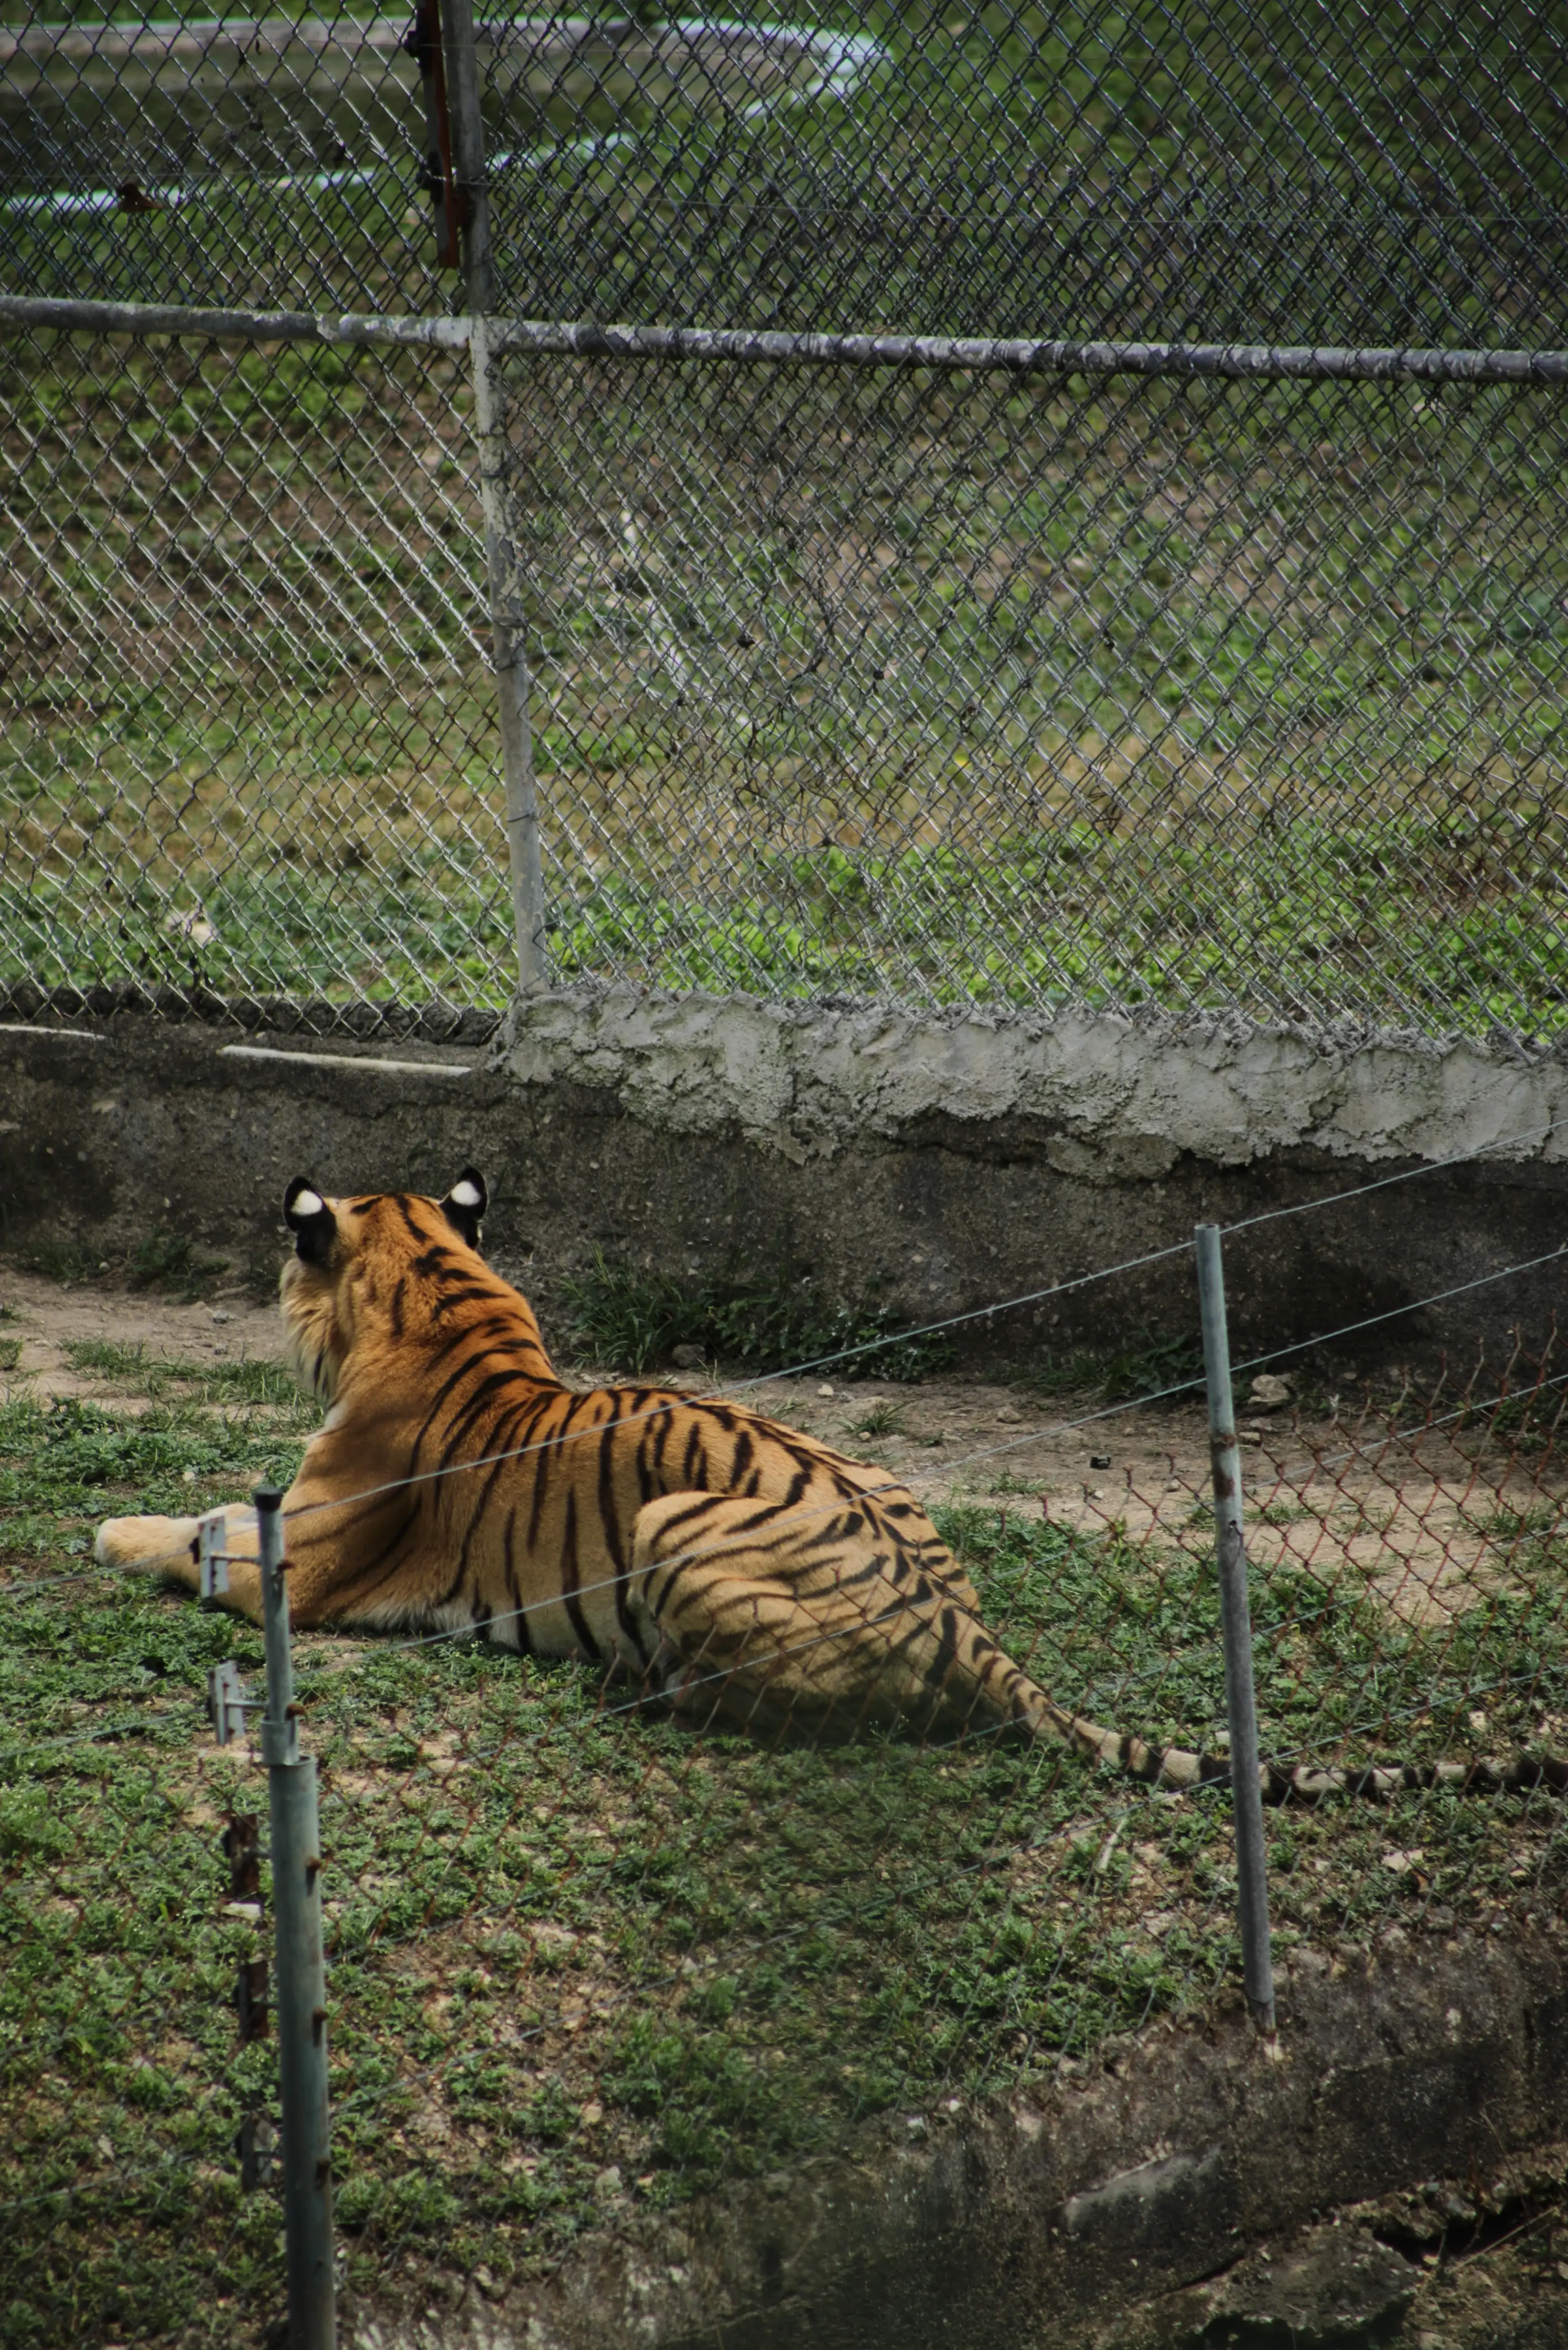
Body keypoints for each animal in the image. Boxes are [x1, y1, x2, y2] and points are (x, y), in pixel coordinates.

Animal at [95, 1171, 1568, 1802]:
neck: (438, 1291)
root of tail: (967, 1625)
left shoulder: (298, 1569)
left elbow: (187, 1533)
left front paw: (100, 1525)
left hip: (673, 1519)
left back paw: (648, 1691)